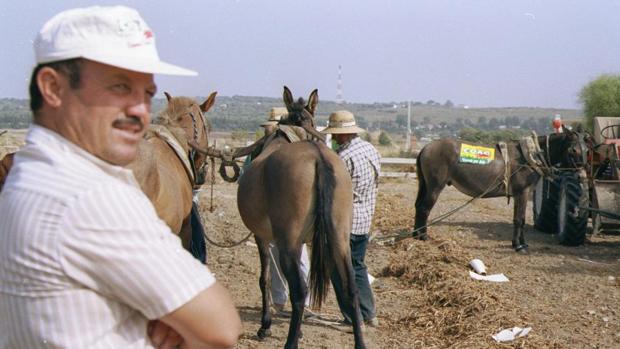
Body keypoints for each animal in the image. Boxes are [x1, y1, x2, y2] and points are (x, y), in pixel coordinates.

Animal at [236, 87, 366, 348]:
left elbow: (265, 279)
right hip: (339, 240)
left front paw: (265, 326)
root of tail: (318, 158)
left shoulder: (262, 237)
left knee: (298, 290)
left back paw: (290, 343)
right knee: (351, 288)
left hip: (288, 243)